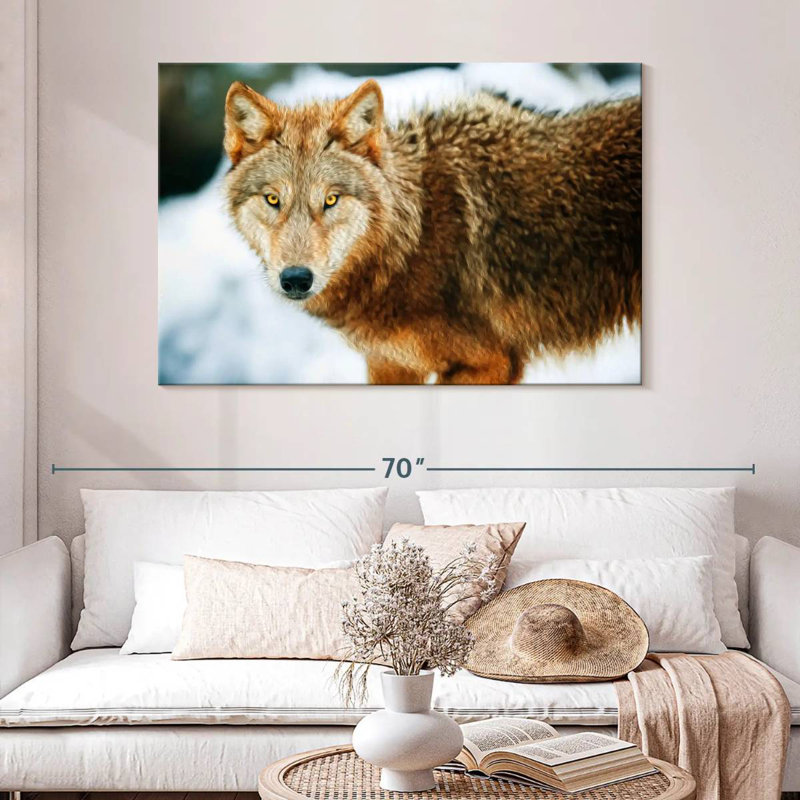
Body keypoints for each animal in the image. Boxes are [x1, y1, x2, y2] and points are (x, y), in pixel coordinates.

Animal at [223, 79, 641, 384]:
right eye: (273, 199)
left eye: (331, 199)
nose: (296, 279)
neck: (414, 236)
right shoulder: (389, 365)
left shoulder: (493, 362)